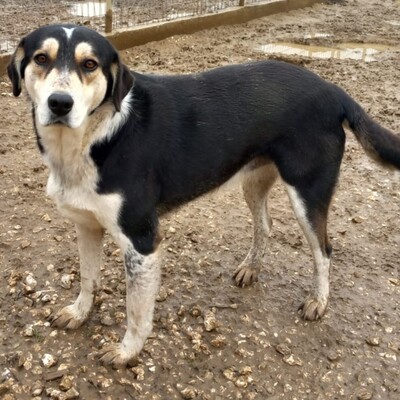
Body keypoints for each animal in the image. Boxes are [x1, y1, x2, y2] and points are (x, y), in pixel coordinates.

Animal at [7, 24, 400, 368]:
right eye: (41, 58)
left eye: (89, 64)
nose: (60, 103)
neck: (96, 136)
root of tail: (333, 91)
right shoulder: (87, 225)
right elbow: (88, 279)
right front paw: (79, 313)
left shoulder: (142, 242)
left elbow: (136, 311)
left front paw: (126, 352)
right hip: (254, 179)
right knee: (265, 224)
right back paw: (250, 268)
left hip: (307, 191)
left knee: (323, 250)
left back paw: (317, 302)